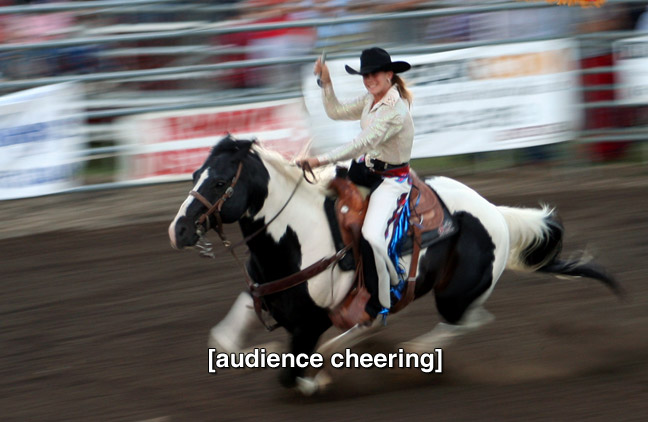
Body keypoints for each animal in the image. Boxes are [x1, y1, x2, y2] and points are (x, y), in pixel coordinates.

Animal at [170, 136, 620, 396]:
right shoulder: (265, 296)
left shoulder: (311, 323)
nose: (179, 230)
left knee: (469, 320)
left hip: (455, 295)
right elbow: (225, 339)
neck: (294, 235)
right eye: (194, 173)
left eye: (219, 182)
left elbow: (295, 375)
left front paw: (313, 373)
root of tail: (495, 212)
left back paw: (414, 353)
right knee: (382, 321)